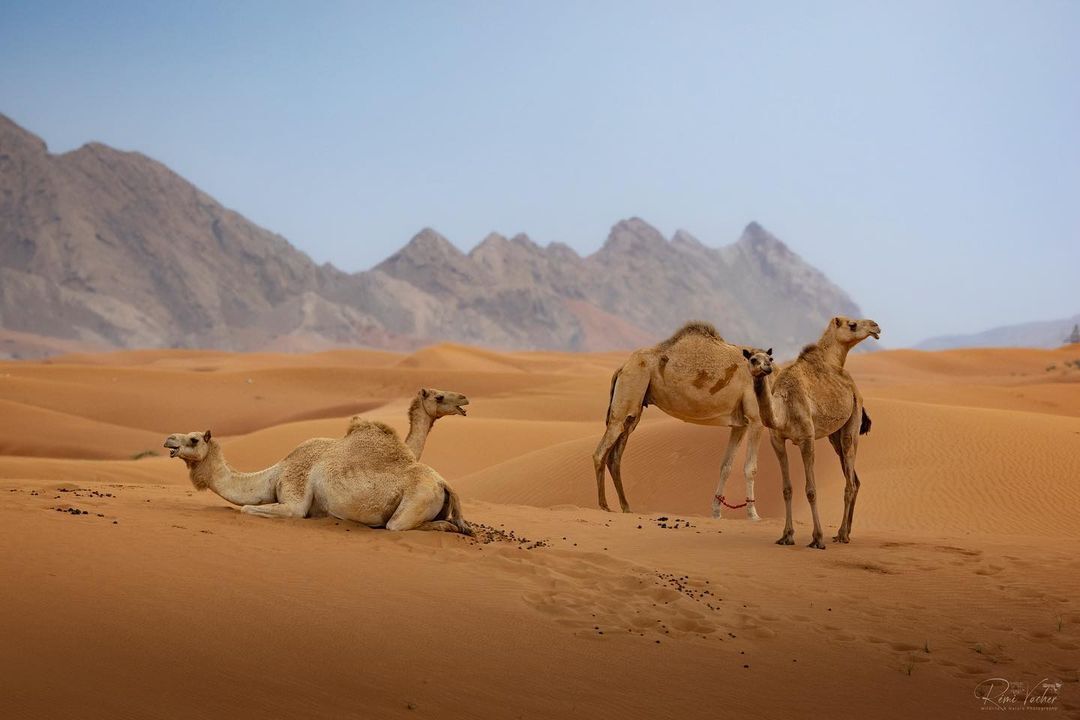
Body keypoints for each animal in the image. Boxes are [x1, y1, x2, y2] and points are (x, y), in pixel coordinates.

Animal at [163, 388, 473, 535]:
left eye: (194, 440)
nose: (169, 440)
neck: (278, 471)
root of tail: (444, 483)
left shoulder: (295, 495)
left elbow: (249, 509)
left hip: (415, 500)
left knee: (400, 526)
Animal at [596, 323, 773, 520]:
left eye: (770, 358)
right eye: (754, 360)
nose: (767, 368)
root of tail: (622, 367)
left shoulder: (739, 424)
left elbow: (726, 466)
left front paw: (716, 512)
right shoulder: (756, 420)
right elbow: (751, 468)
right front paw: (753, 515)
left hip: (634, 408)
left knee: (615, 456)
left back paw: (626, 506)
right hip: (631, 387)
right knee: (601, 451)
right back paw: (604, 505)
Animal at [747, 315, 881, 546]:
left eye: (770, 359)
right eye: (753, 360)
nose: (875, 326)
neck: (784, 407)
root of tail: (854, 387)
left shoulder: (807, 438)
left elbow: (811, 490)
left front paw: (817, 538)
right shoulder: (777, 440)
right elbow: (787, 489)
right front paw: (786, 536)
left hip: (852, 425)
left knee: (850, 480)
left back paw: (842, 534)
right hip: (834, 437)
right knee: (854, 479)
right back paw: (844, 532)